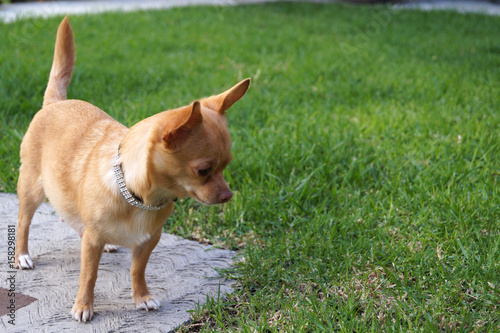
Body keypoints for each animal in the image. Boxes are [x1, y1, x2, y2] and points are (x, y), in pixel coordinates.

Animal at [14, 16, 249, 320]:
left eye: (227, 165)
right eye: (204, 170)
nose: (228, 196)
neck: (137, 195)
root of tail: (56, 102)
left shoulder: (148, 240)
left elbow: (137, 270)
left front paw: (142, 297)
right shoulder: (92, 242)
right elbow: (88, 275)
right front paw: (83, 306)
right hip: (31, 188)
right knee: (23, 221)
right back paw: (21, 255)